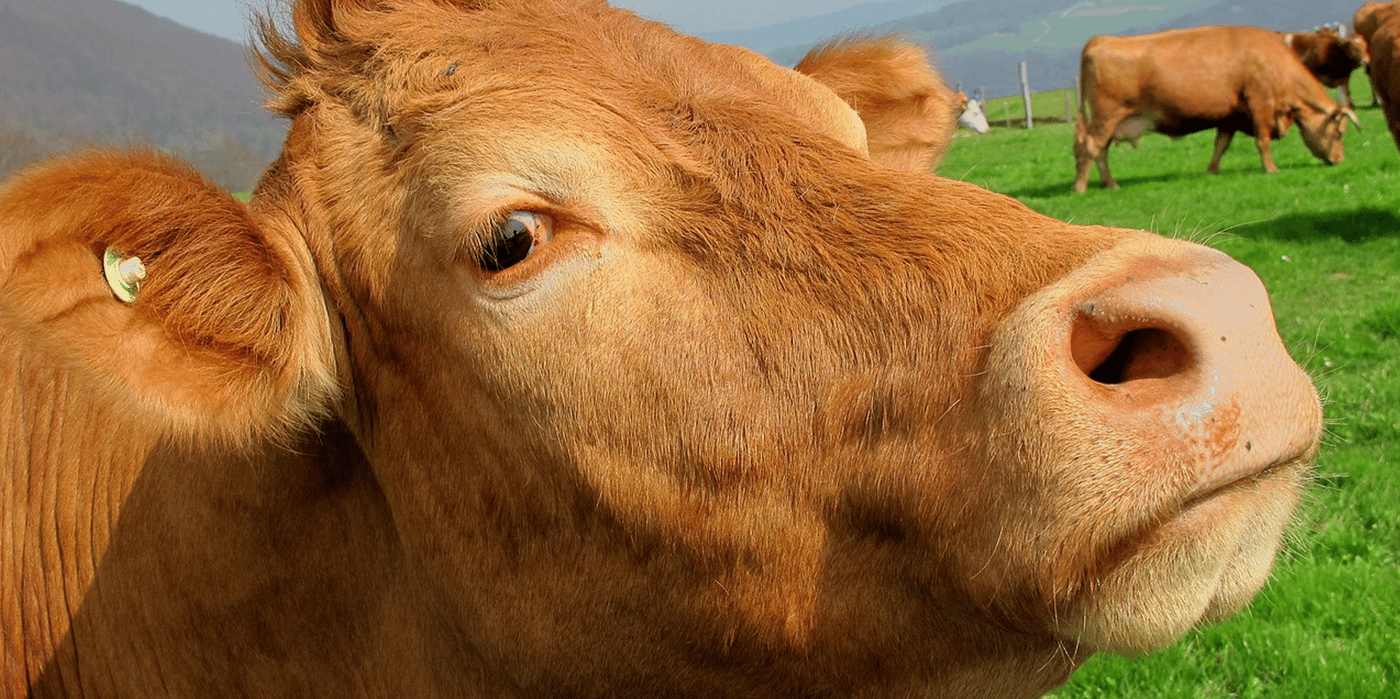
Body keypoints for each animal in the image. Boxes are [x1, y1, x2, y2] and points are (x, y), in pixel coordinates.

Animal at [1074, 25, 1359, 193]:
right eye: (1340, 132)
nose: (1340, 160)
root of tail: (1100, 39)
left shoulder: (1229, 116)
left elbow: (1221, 144)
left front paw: (1212, 170)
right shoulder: (1260, 105)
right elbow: (1263, 141)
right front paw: (1271, 168)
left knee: (1098, 151)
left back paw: (1108, 184)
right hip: (1107, 117)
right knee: (1091, 148)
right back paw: (1084, 186)